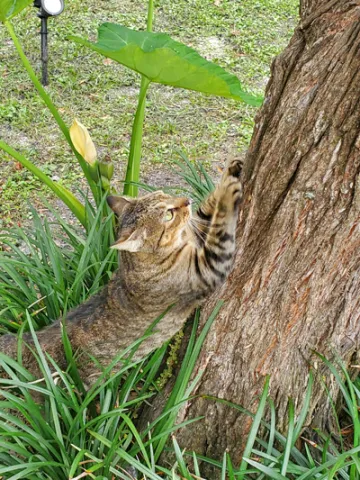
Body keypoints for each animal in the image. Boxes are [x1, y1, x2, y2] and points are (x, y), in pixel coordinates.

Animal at [0, 159, 243, 384]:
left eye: (165, 194)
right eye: (168, 215)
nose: (186, 200)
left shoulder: (197, 229)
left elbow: (207, 209)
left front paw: (231, 171)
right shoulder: (208, 267)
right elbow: (222, 221)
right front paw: (230, 191)